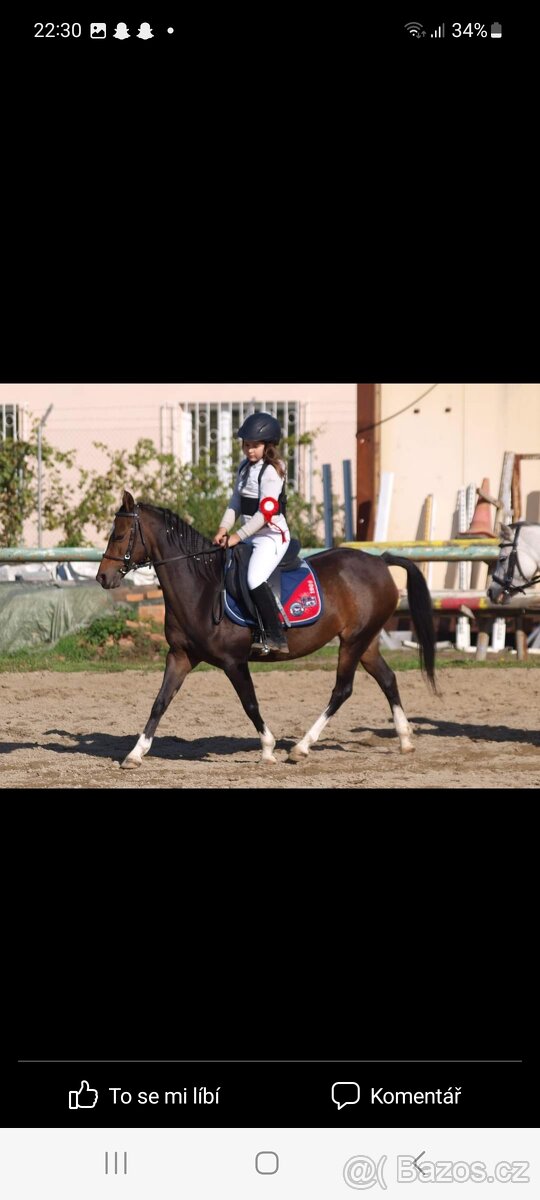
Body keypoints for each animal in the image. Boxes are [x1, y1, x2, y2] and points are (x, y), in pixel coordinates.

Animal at [96, 491, 437, 769]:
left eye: (120, 535)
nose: (102, 577)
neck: (202, 588)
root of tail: (379, 561)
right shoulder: (180, 656)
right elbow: (160, 702)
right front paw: (135, 754)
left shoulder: (234, 662)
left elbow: (250, 703)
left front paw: (268, 750)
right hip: (366, 642)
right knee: (388, 679)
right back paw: (405, 740)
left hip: (353, 642)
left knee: (342, 689)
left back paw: (301, 748)